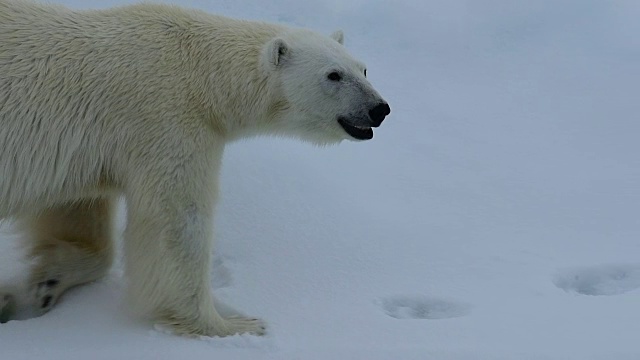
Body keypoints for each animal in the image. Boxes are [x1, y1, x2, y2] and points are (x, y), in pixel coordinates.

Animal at [0, 0, 390, 338]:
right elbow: (177, 222)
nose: (379, 108)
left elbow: (76, 207)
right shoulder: (167, 121)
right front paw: (231, 324)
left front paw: (46, 281)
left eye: (364, 68)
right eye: (333, 75)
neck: (199, 70)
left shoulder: (85, 147)